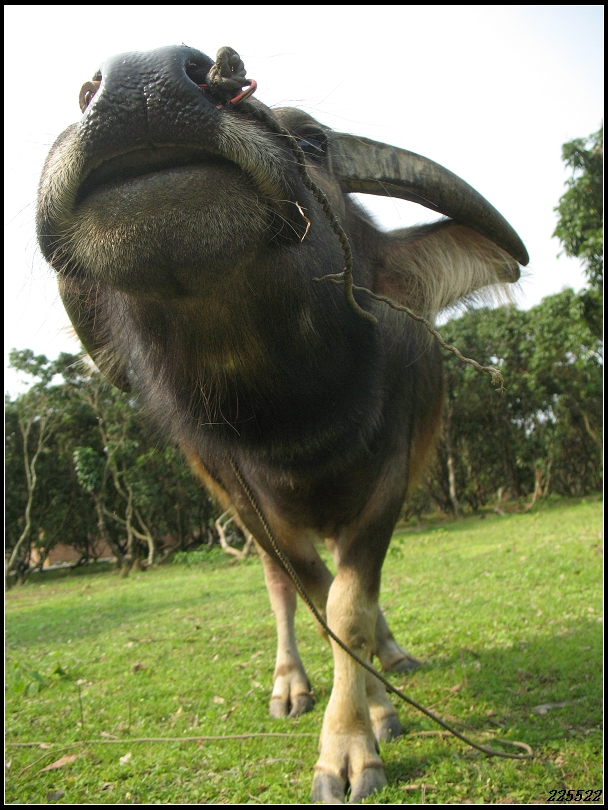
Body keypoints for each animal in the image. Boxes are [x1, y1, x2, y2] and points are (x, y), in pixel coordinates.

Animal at [37, 44, 528, 803]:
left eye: (314, 144)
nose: (137, 83)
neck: (295, 425)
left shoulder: (390, 482)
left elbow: (352, 606)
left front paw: (355, 739)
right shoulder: (247, 502)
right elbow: (320, 601)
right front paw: (361, 724)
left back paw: (391, 661)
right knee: (282, 590)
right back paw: (294, 685)